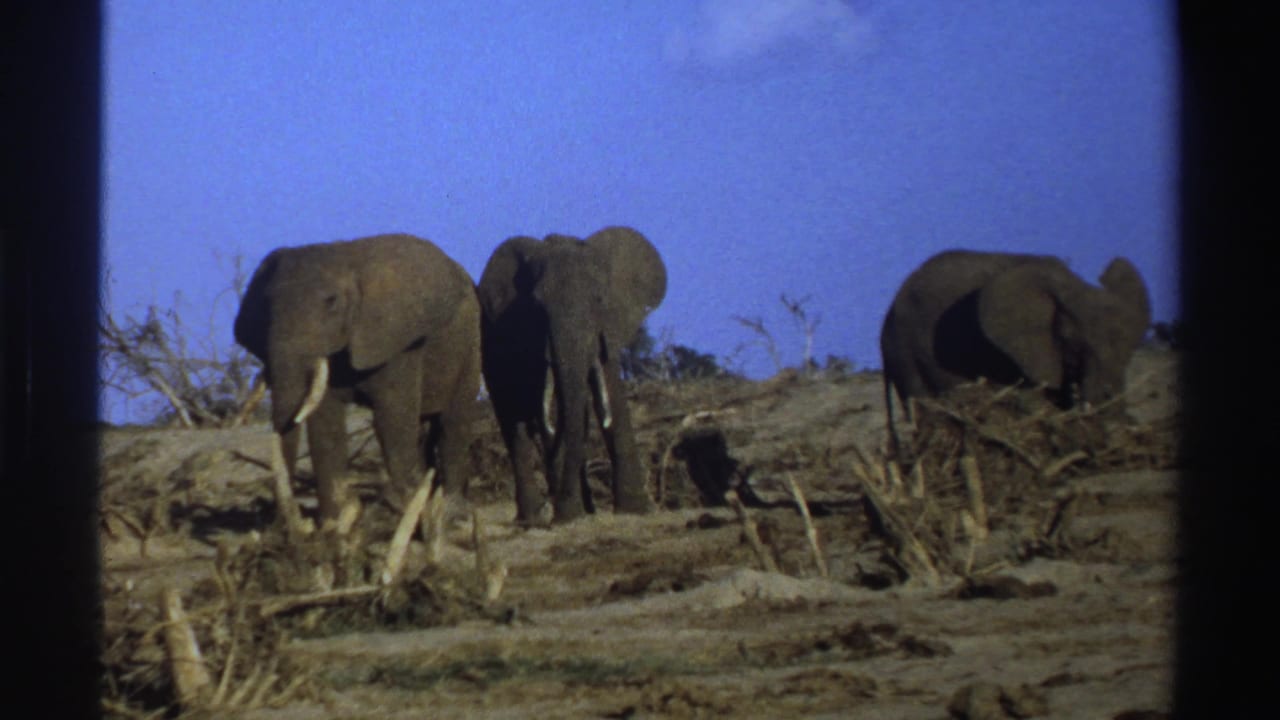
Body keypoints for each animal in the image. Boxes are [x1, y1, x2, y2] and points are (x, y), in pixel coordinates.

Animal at [233, 233, 481, 525]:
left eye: (331, 302)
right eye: (266, 305)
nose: (283, 522)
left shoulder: (396, 341)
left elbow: (392, 422)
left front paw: (407, 516)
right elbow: (325, 428)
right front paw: (333, 524)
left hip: (471, 339)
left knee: (454, 422)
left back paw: (453, 514)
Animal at [477, 226, 665, 526]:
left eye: (599, 300)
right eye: (538, 306)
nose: (564, 515)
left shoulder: (605, 329)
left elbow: (609, 391)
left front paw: (635, 510)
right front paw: (569, 514)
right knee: (514, 423)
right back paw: (533, 519)